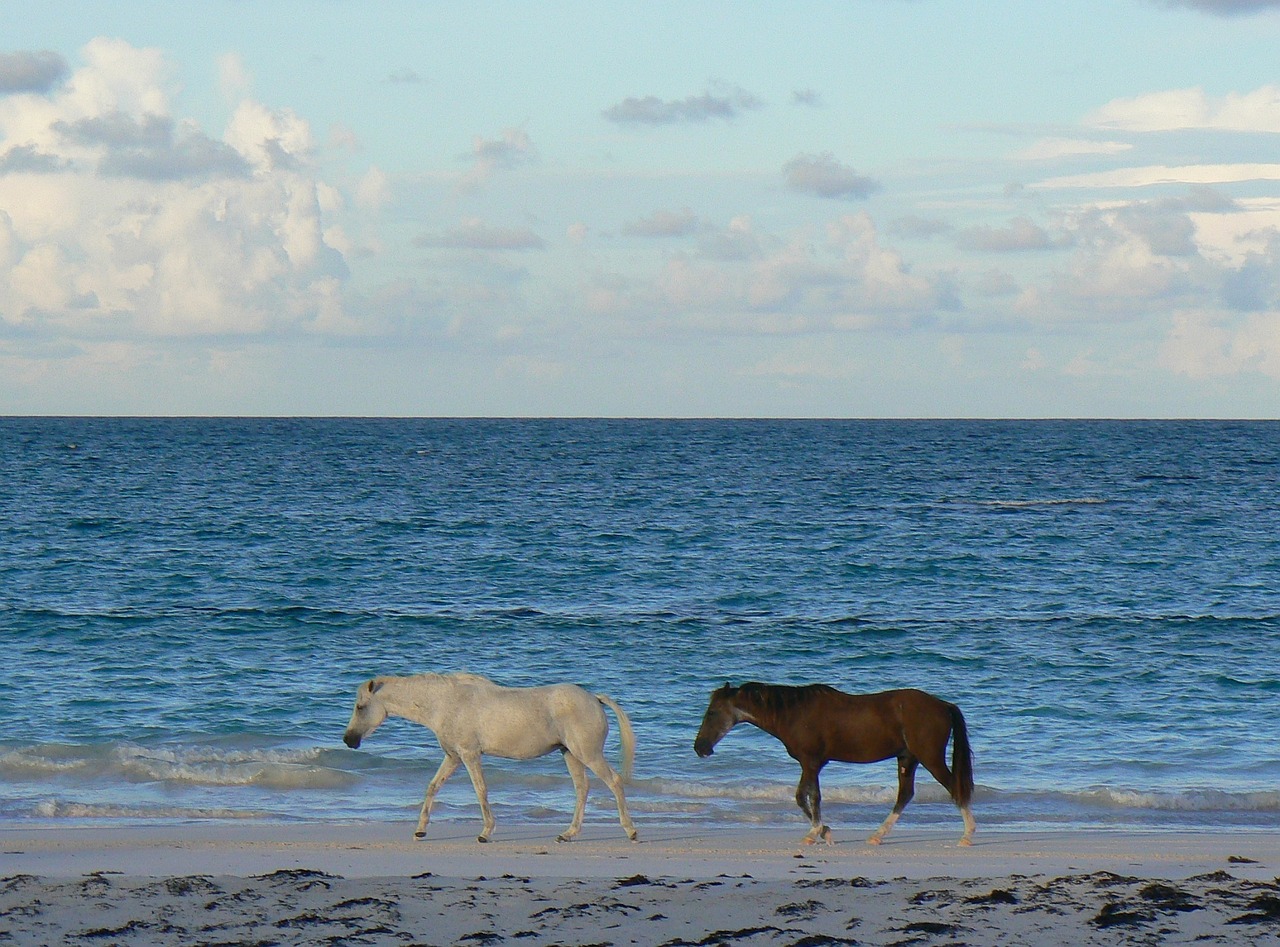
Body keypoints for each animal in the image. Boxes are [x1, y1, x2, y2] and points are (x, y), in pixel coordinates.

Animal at [343, 675, 637, 844]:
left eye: (360, 706)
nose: (348, 740)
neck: (445, 703)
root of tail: (594, 698)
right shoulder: (453, 757)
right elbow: (433, 787)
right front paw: (420, 831)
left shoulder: (469, 754)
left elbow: (481, 790)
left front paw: (485, 832)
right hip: (570, 754)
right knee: (582, 788)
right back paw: (568, 834)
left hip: (587, 754)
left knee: (614, 781)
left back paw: (630, 831)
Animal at [696, 685, 972, 844]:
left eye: (712, 712)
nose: (700, 748)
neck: (795, 713)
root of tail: (943, 705)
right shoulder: (810, 764)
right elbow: (802, 796)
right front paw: (824, 831)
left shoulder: (811, 762)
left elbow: (812, 797)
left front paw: (816, 832)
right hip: (907, 758)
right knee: (905, 794)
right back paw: (877, 836)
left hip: (929, 757)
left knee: (954, 788)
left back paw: (967, 835)